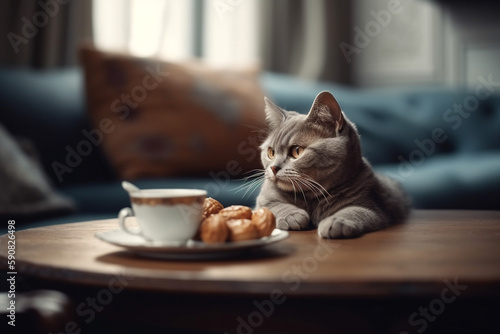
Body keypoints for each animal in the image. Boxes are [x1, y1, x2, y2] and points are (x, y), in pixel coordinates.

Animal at [258, 90, 410, 237]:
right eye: (271, 152)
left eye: (297, 151)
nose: (273, 168)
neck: (311, 198)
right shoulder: (263, 199)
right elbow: (272, 206)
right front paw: (291, 215)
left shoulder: (373, 208)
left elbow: (354, 211)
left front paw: (335, 221)